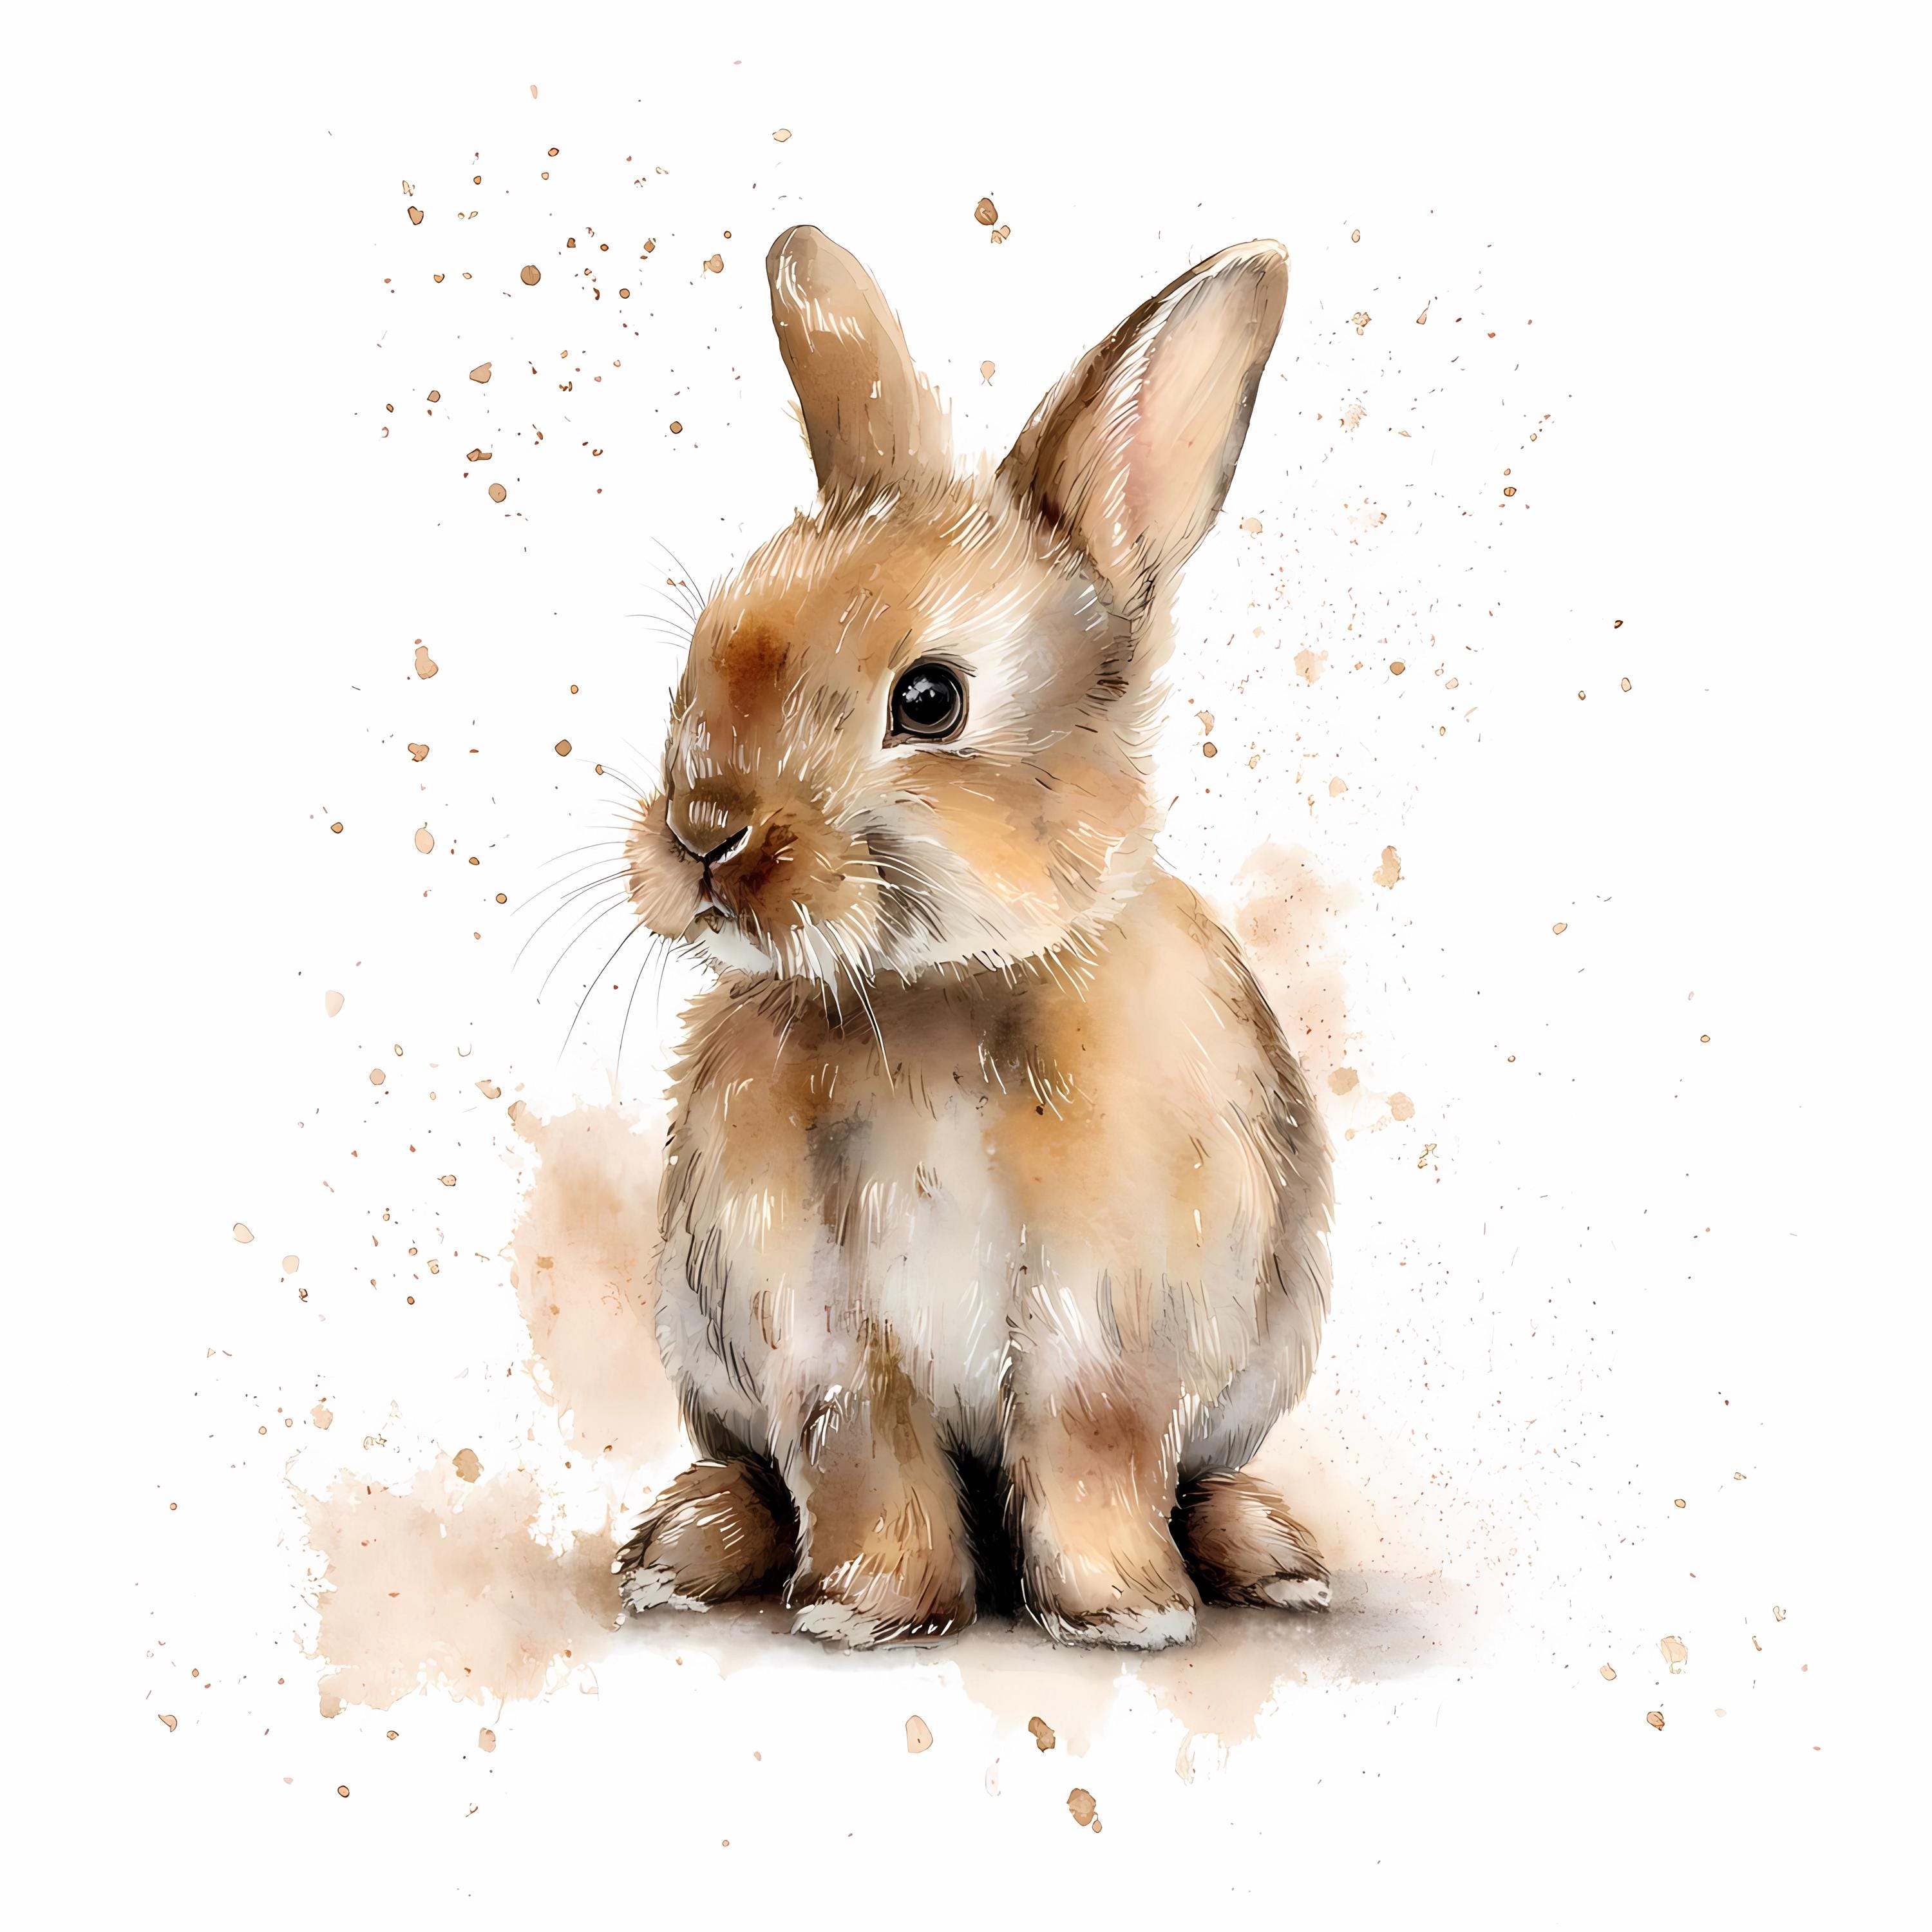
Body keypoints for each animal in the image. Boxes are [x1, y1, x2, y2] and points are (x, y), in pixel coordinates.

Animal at [613, 226, 1332, 1650]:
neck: (931, 991)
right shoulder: (823, 1331)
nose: (703, 832)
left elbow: (1095, 1451)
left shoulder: (1105, 1322)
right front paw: (868, 1610)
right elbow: (859, 1456)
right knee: (750, 1478)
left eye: (931, 700)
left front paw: (1124, 1614)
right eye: (700, 657)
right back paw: (679, 1551)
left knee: (1200, 1481)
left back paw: (1273, 1558)